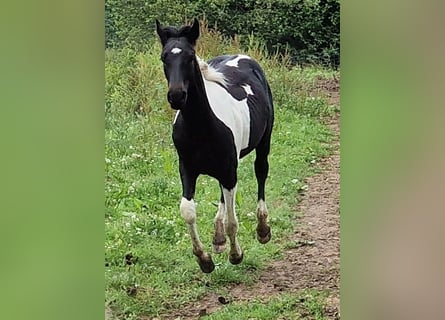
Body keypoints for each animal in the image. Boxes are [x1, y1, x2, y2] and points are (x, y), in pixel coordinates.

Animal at [156, 18, 274, 272]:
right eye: (163, 57)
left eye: (190, 56)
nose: (176, 96)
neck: (201, 129)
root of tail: (243, 56)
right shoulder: (187, 169)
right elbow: (188, 211)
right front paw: (204, 259)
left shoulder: (229, 171)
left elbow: (233, 221)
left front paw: (236, 255)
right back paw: (218, 238)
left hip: (263, 142)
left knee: (261, 172)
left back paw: (262, 230)